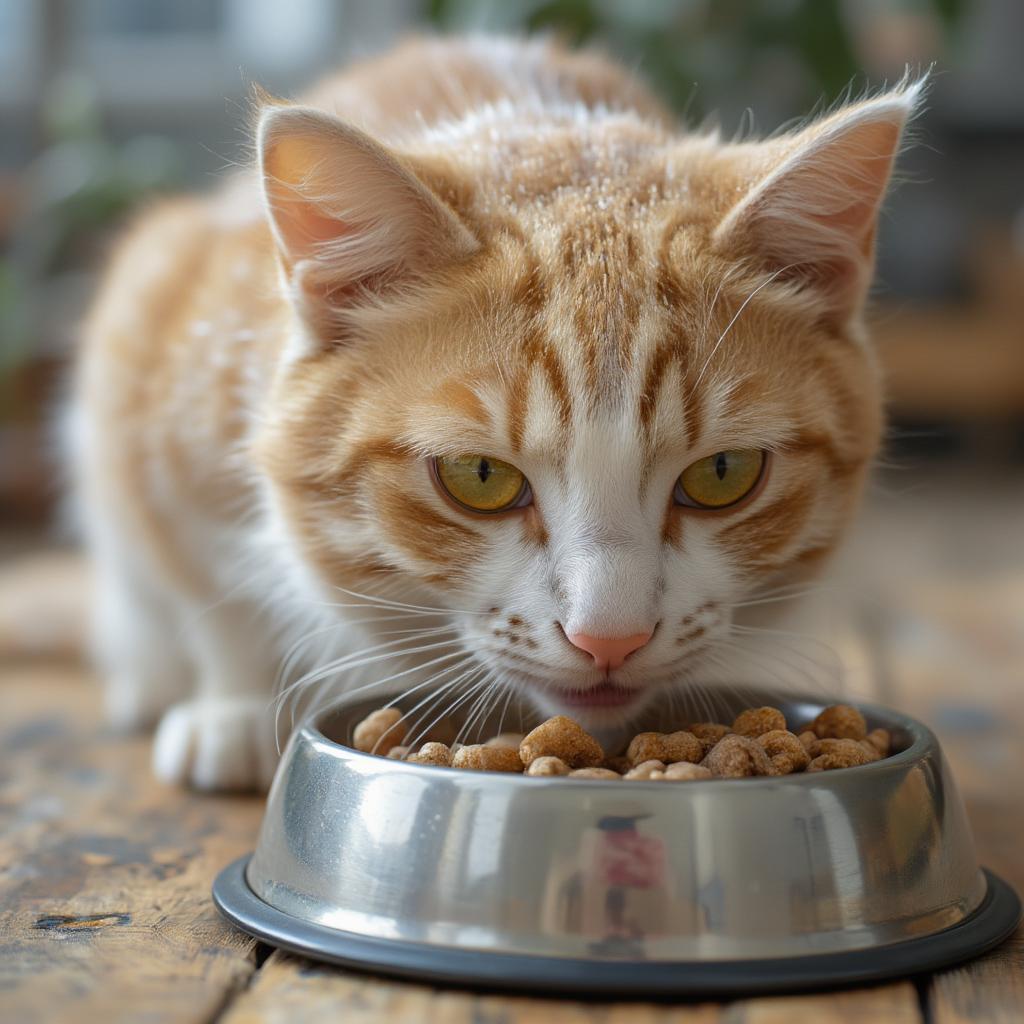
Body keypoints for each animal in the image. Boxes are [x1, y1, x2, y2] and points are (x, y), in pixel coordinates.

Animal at [72, 36, 921, 790]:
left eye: (723, 473)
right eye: (478, 476)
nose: (609, 638)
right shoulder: (156, 379)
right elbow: (213, 597)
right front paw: (236, 707)